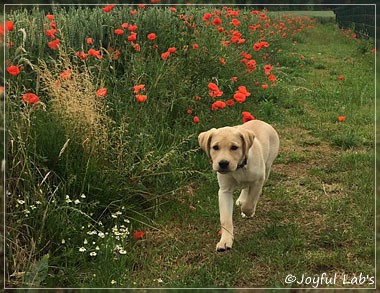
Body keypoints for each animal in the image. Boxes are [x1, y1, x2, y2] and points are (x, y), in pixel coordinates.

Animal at [199, 119, 280, 251]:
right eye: (215, 147)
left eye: (234, 147)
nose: (223, 163)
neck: (239, 168)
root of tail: (261, 121)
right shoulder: (224, 191)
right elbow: (225, 219)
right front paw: (225, 241)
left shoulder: (258, 180)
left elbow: (250, 202)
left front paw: (248, 212)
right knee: (246, 187)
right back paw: (242, 198)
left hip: (267, 167)